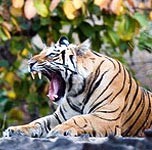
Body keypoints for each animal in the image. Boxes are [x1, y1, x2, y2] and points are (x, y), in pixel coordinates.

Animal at [2, 37, 152, 138]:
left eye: (51, 54)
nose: (29, 63)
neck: (78, 93)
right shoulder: (58, 117)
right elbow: (38, 122)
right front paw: (15, 130)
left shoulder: (106, 116)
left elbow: (81, 119)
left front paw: (60, 129)